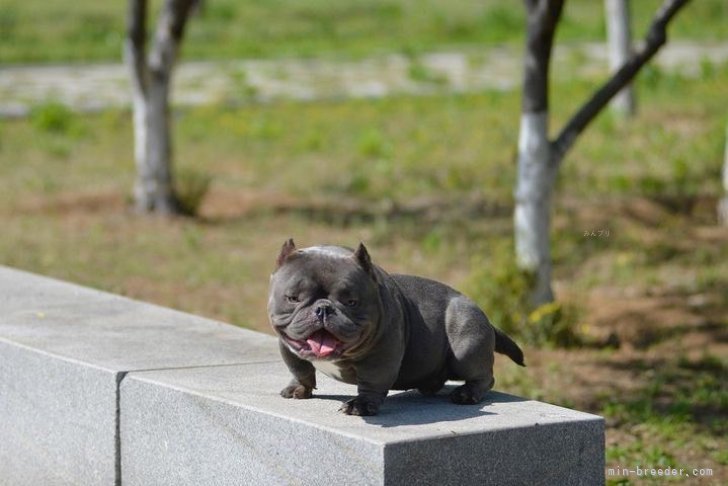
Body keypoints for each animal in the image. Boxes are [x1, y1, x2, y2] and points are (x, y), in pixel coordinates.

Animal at [268, 238, 524, 414]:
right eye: (293, 298)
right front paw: (298, 389)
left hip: (466, 345)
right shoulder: (288, 348)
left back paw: (466, 393)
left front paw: (360, 405)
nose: (323, 309)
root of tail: (485, 317)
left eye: (351, 302)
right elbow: (300, 370)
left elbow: (372, 383)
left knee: (483, 377)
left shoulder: (381, 357)